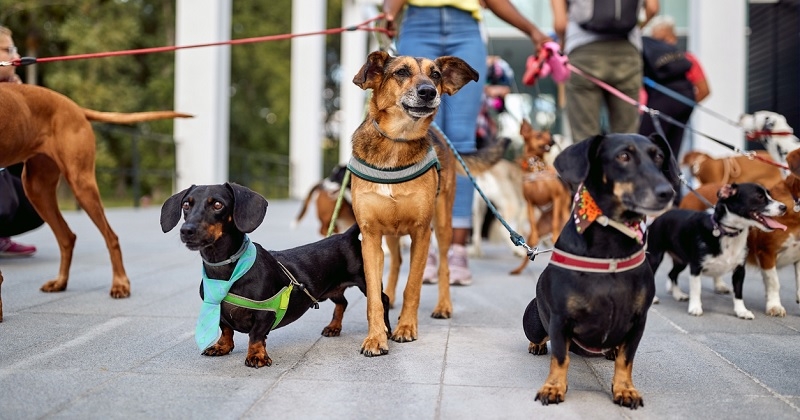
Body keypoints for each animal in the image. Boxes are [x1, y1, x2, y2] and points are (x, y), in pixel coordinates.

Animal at [0, 83, 191, 296]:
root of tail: (75, 107)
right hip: (37, 188)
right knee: (67, 237)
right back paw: (61, 281)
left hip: (81, 183)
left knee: (110, 237)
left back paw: (120, 283)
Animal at [159, 184, 390, 368]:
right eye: (186, 205)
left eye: (217, 205)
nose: (186, 230)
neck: (227, 272)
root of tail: (345, 235)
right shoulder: (218, 310)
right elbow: (225, 329)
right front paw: (221, 346)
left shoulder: (265, 313)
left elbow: (256, 335)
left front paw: (257, 356)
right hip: (331, 289)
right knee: (342, 302)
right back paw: (333, 327)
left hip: (365, 281)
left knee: (383, 300)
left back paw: (385, 331)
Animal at [350, 50, 500, 356]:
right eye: (401, 72)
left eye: (436, 75)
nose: (429, 92)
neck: (397, 141)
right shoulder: (370, 235)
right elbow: (373, 294)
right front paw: (376, 337)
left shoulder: (421, 232)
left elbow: (414, 286)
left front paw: (406, 328)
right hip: (390, 234)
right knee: (395, 261)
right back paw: (390, 295)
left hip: (442, 225)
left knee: (443, 265)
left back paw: (443, 305)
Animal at [510, 120, 572, 276]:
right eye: (538, 135)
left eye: (548, 135)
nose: (552, 140)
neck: (536, 167)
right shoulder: (530, 203)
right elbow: (531, 221)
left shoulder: (556, 198)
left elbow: (555, 219)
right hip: (539, 230)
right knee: (529, 251)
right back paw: (518, 269)